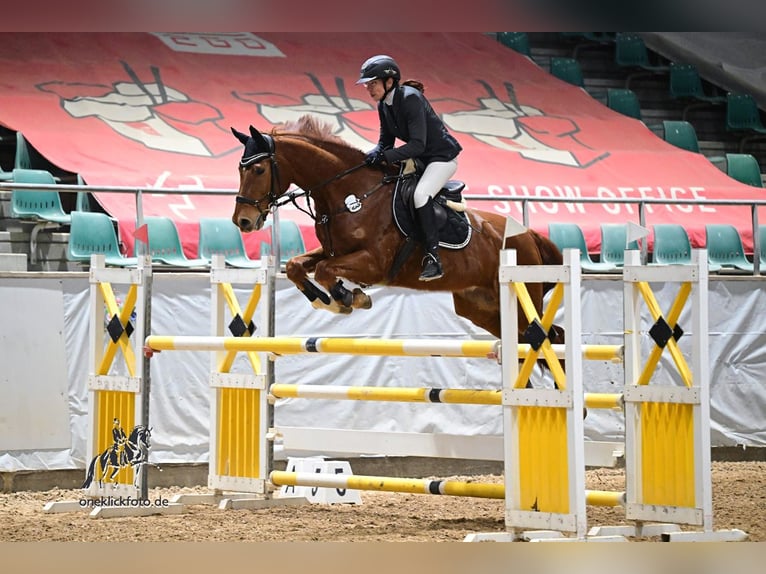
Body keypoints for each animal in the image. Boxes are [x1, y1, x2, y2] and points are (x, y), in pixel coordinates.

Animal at [230, 115, 564, 349]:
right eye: (239, 169)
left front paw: (347, 298)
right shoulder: (332, 250)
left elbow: (325, 270)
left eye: (258, 169)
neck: (350, 194)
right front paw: (326, 300)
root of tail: (529, 235)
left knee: (548, 337)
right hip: (481, 307)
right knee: (532, 339)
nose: (242, 221)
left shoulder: (374, 262)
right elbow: (297, 266)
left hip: (521, 298)